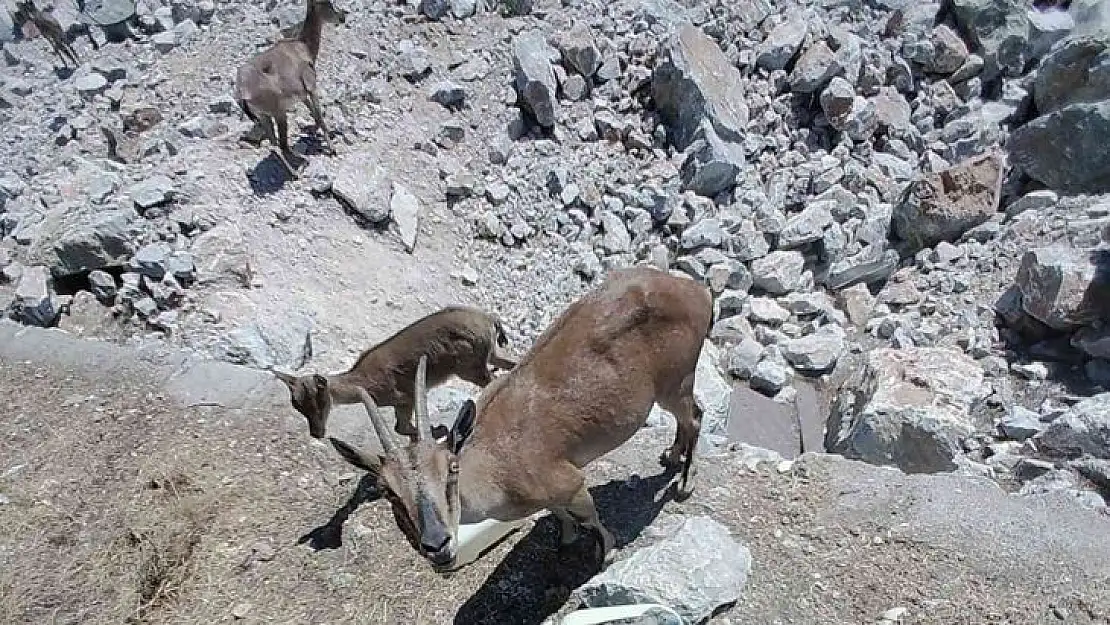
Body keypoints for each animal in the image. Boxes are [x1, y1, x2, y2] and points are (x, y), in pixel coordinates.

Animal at [229, 0, 341, 177]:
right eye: (326, 3)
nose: (341, 18)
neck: (303, 46)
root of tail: (242, 93)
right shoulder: (312, 87)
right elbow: (320, 117)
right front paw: (332, 149)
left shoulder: (303, 95)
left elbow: (314, 115)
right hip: (279, 113)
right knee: (282, 146)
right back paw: (300, 166)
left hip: (264, 116)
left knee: (274, 145)